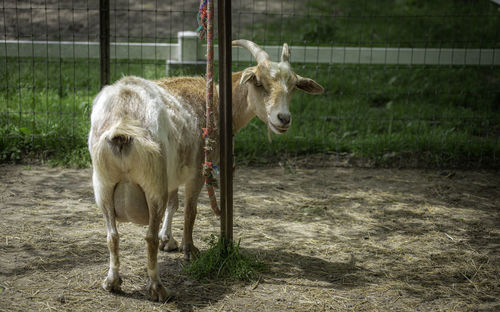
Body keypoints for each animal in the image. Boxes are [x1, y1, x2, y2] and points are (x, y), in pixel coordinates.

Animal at [87, 39, 322, 302]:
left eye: (293, 86)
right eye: (259, 83)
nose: (283, 119)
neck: (218, 102)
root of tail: (124, 118)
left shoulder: (174, 171)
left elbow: (173, 203)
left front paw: (168, 240)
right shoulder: (197, 171)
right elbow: (190, 211)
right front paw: (189, 249)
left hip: (104, 185)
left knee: (112, 235)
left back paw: (112, 282)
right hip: (152, 183)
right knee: (147, 236)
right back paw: (158, 288)